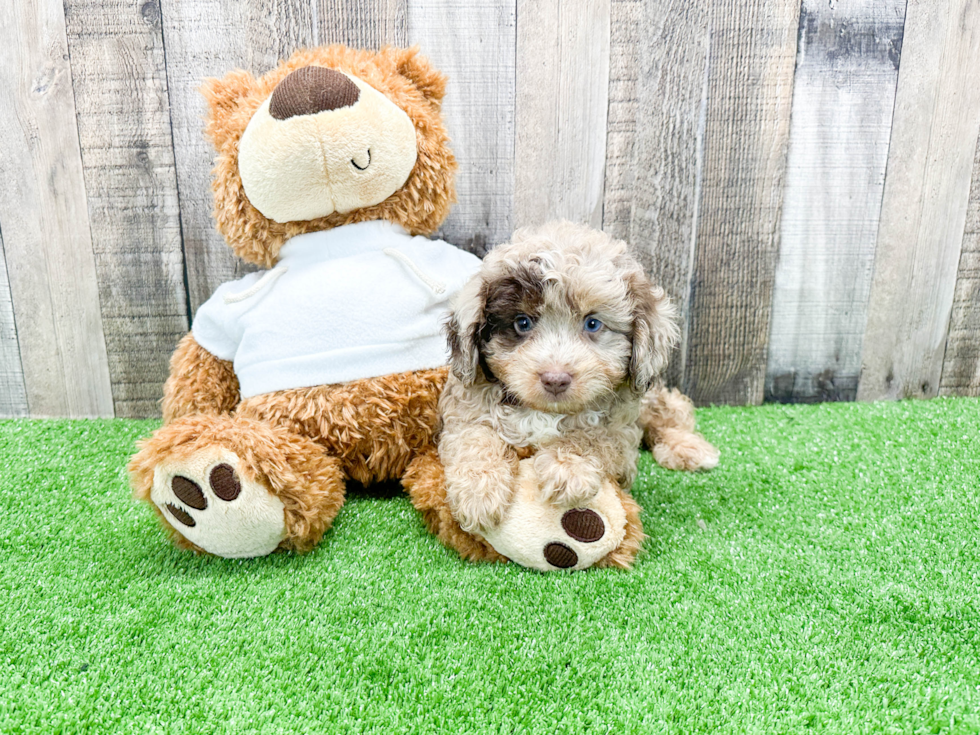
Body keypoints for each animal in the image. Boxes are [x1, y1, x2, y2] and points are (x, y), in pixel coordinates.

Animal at [440, 218, 716, 536]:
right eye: (522, 322)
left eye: (592, 323)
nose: (555, 379)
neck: (545, 412)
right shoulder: (465, 406)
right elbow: (474, 437)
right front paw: (479, 489)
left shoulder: (622, 436)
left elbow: (594, 437)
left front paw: (567, 466)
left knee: (669, 409)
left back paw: (688, 447)